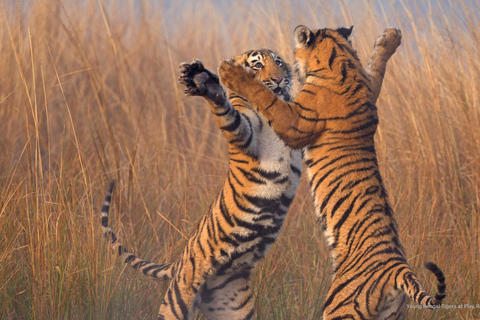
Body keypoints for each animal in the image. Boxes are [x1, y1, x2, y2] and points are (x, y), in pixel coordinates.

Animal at [102, 30, 404, 320]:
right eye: (257, 65)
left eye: (279, 62)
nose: (279, 80)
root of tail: (181, 260)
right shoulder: (249, 137)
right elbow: (229, 114)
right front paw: (210, 84)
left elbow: (369, 75)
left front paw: (388, 40)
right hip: (178, 299)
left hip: (233, 307)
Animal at [218, 26, 446, 320]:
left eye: (281, 61)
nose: (281, 77)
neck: (341, 62)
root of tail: (398, 270)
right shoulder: (369, 89)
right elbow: (376, 70)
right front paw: (390, 38)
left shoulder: (294, 122)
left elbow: (267, 99)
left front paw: (233, 72)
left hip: (340, 307)